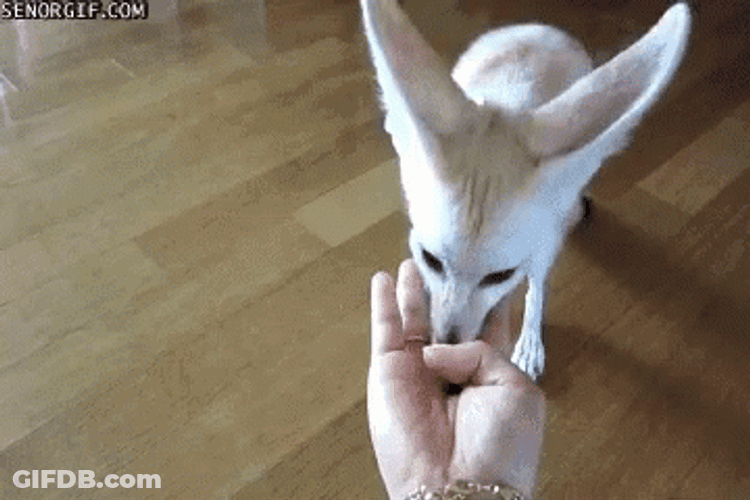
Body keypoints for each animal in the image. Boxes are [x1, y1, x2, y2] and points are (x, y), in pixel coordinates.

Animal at [360, 0, 691, 380]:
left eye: (501, 276)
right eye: (430, 259)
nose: (447, 343)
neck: (510, 101)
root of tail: (535, 27)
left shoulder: (543, 241)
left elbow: (537, 288)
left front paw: (530, 342)